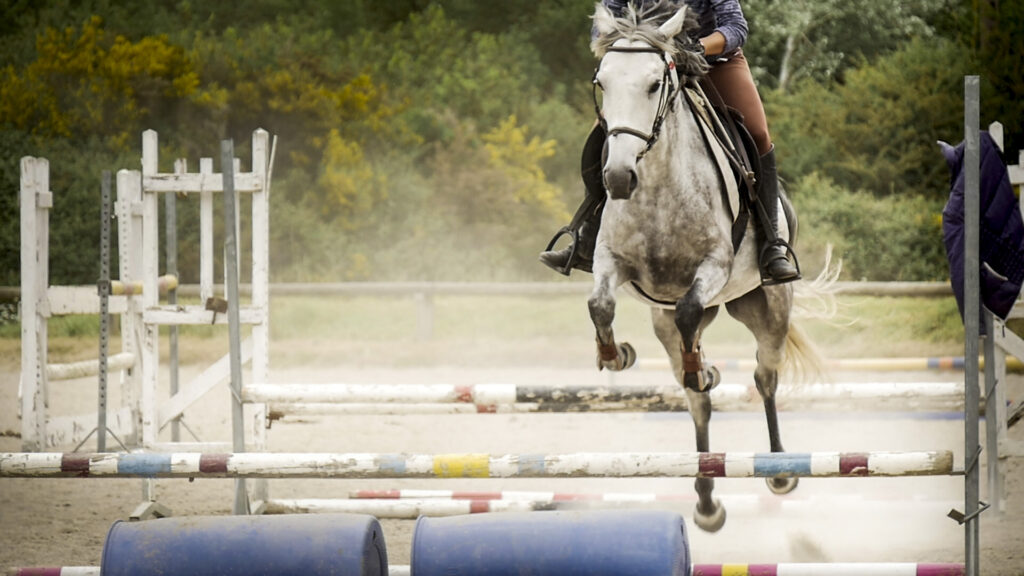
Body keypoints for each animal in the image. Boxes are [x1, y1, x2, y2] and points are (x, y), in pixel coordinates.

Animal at [585, 1, 832, 532]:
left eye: (654, 84)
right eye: (603, 82)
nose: (617, 178)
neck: (657, 184)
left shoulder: (714, 267)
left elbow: (689, 308)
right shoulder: (612, 262)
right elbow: (600, 305)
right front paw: (617, 356)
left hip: (768, 306)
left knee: (764, 376)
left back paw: (780, 469)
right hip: (665, 319)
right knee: (696, 398)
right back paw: (704, 498)